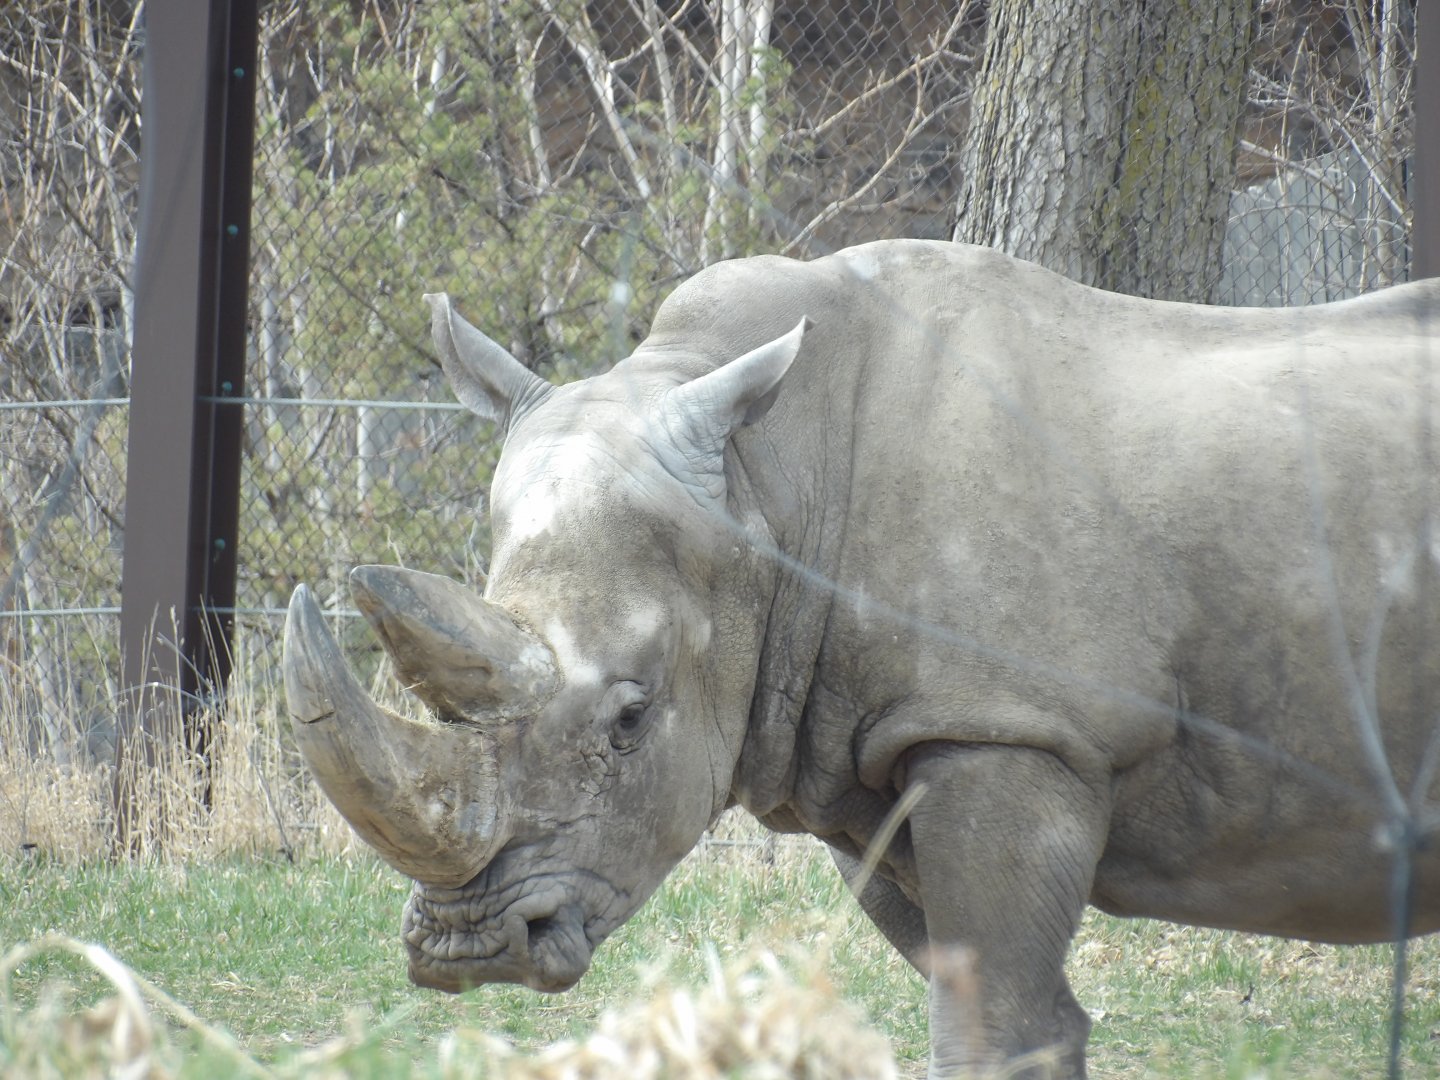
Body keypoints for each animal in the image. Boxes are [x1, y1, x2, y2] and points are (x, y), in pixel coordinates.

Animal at [283, 239, 1440, 1077]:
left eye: (631, 718)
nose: (469, 948)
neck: (771, 485)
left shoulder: (1013, 728)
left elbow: (992, 1023)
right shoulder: (862, 748)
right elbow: (1021, 1014)